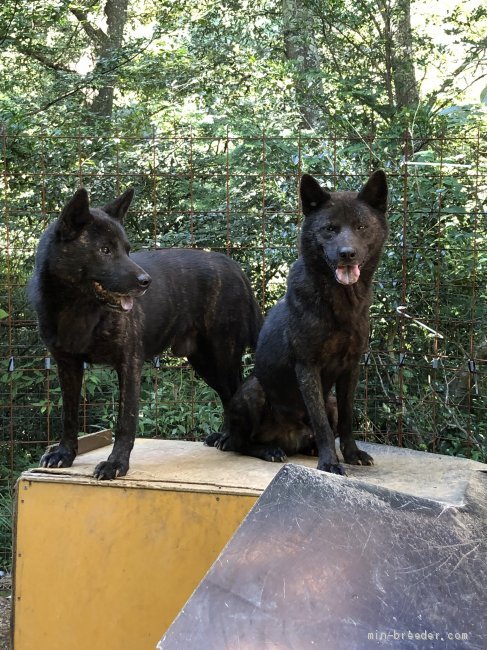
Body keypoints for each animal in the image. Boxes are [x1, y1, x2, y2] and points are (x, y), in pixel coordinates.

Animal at [30, 187, 264, 476]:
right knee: (228, 396)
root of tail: (234, 266)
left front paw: (116, 463)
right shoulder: (67, 365)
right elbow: (69, 416)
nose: (146, 282)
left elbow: (125, 421)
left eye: (127, 250)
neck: (78, 308)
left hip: (223, 357)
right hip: (205, 364)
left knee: (235, 394)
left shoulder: (129, 363)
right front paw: (64, 453)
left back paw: (238, 442)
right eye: (104, 250)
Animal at [210, 170, 388, 474]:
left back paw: (308, 448)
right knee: (240, 443)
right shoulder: (307, 366)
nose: (347, 253)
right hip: (253, 390)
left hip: (329, 401)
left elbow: (347, 419)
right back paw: (269, 450)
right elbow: (320, 422)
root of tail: (288, 439)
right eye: (329, 228)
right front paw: (329, 462)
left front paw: (352, 454)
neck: (340, 304)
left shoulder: (351, 367)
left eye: (361, 226)